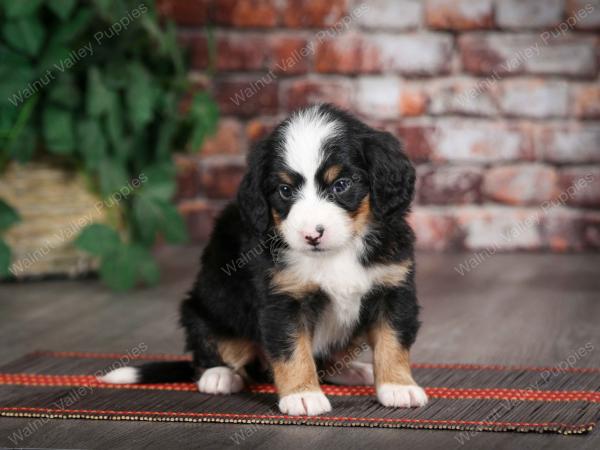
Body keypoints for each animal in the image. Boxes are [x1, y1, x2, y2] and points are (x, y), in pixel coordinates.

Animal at [104, 103, 432, 416]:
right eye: (285, 190)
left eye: (341, 185)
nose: (312, 235)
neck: (336, 253)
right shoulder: (282, 298)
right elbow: (293, 350)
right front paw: (302, 395)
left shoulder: (393, 287)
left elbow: (393, 341)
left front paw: (398, 386)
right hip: (203, 307)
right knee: (208, 350)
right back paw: (219, 375)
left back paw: (353, 371)